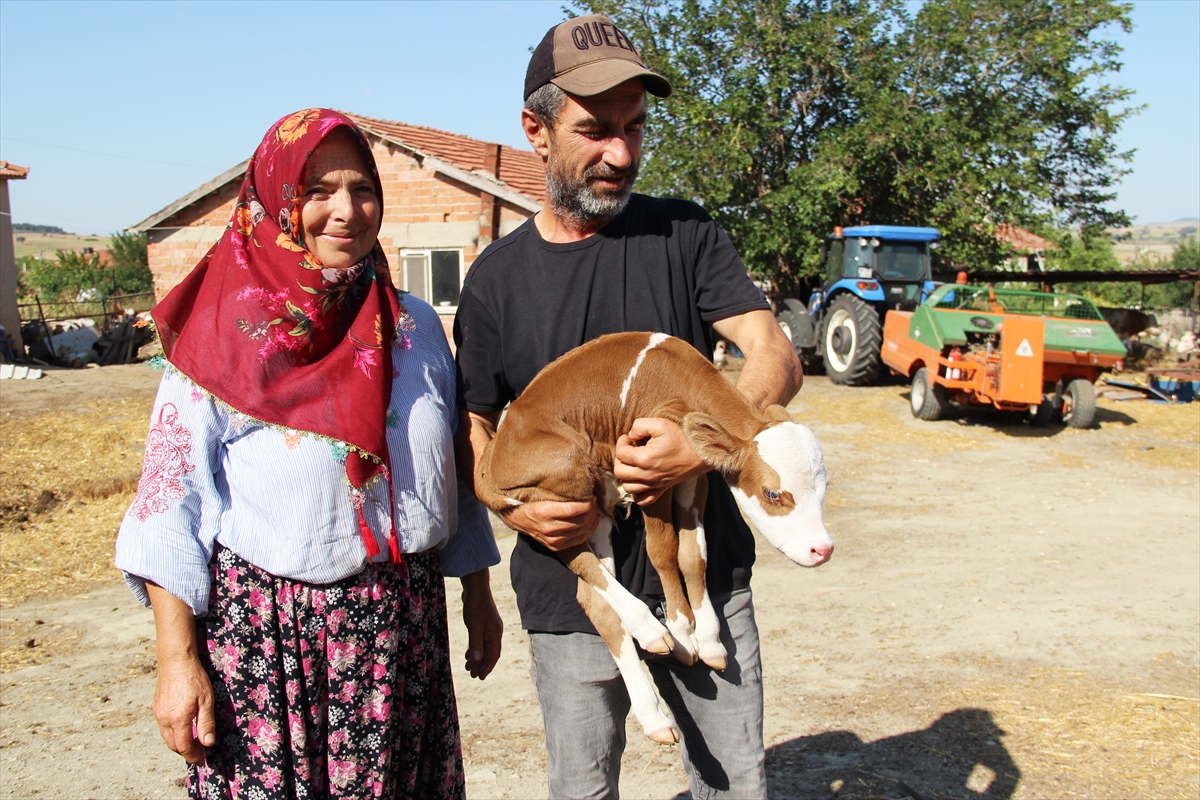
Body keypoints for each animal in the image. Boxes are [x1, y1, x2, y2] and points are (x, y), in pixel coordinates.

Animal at [472, 331, 830, 743]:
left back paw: (655, 717)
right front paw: (683, 633)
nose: (823, 549)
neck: (677, 380)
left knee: (593, 598)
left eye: (824, 489)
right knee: (575, 555)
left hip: (599, 502)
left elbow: (694, 554)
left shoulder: (693, 475)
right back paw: (649, 629)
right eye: (773, 493)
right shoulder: (647, 474)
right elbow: (663, 550)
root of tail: (491, 457)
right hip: (565, 479)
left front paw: (710, 638)